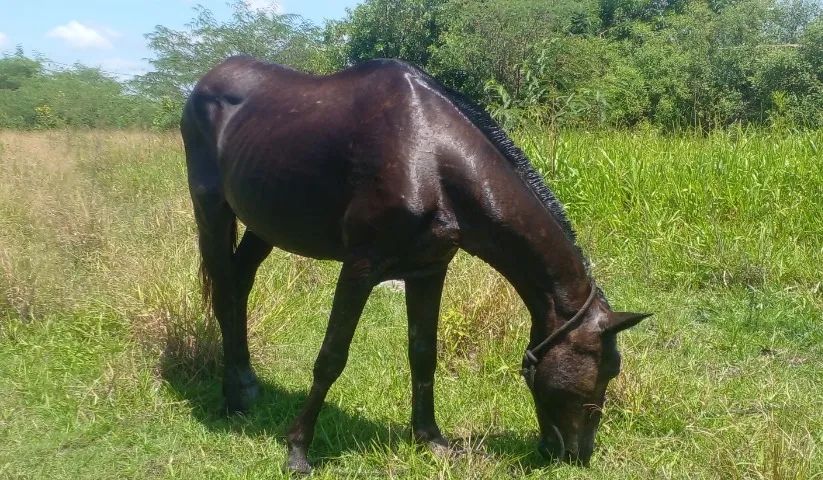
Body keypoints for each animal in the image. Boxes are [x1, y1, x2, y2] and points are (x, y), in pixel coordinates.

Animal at [180, 56, 650, 473]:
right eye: (603, 372)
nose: (576, 455)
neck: (429, 158)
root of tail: (207, 80)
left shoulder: (428, 270)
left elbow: (423, 354)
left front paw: (432, 440)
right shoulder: (360, 268)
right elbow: (331, 357)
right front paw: (297, 451)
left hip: (265, 226)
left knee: (239, 284)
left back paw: (245, 384)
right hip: (212, 212)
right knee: (224, 292)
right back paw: (232, 398)